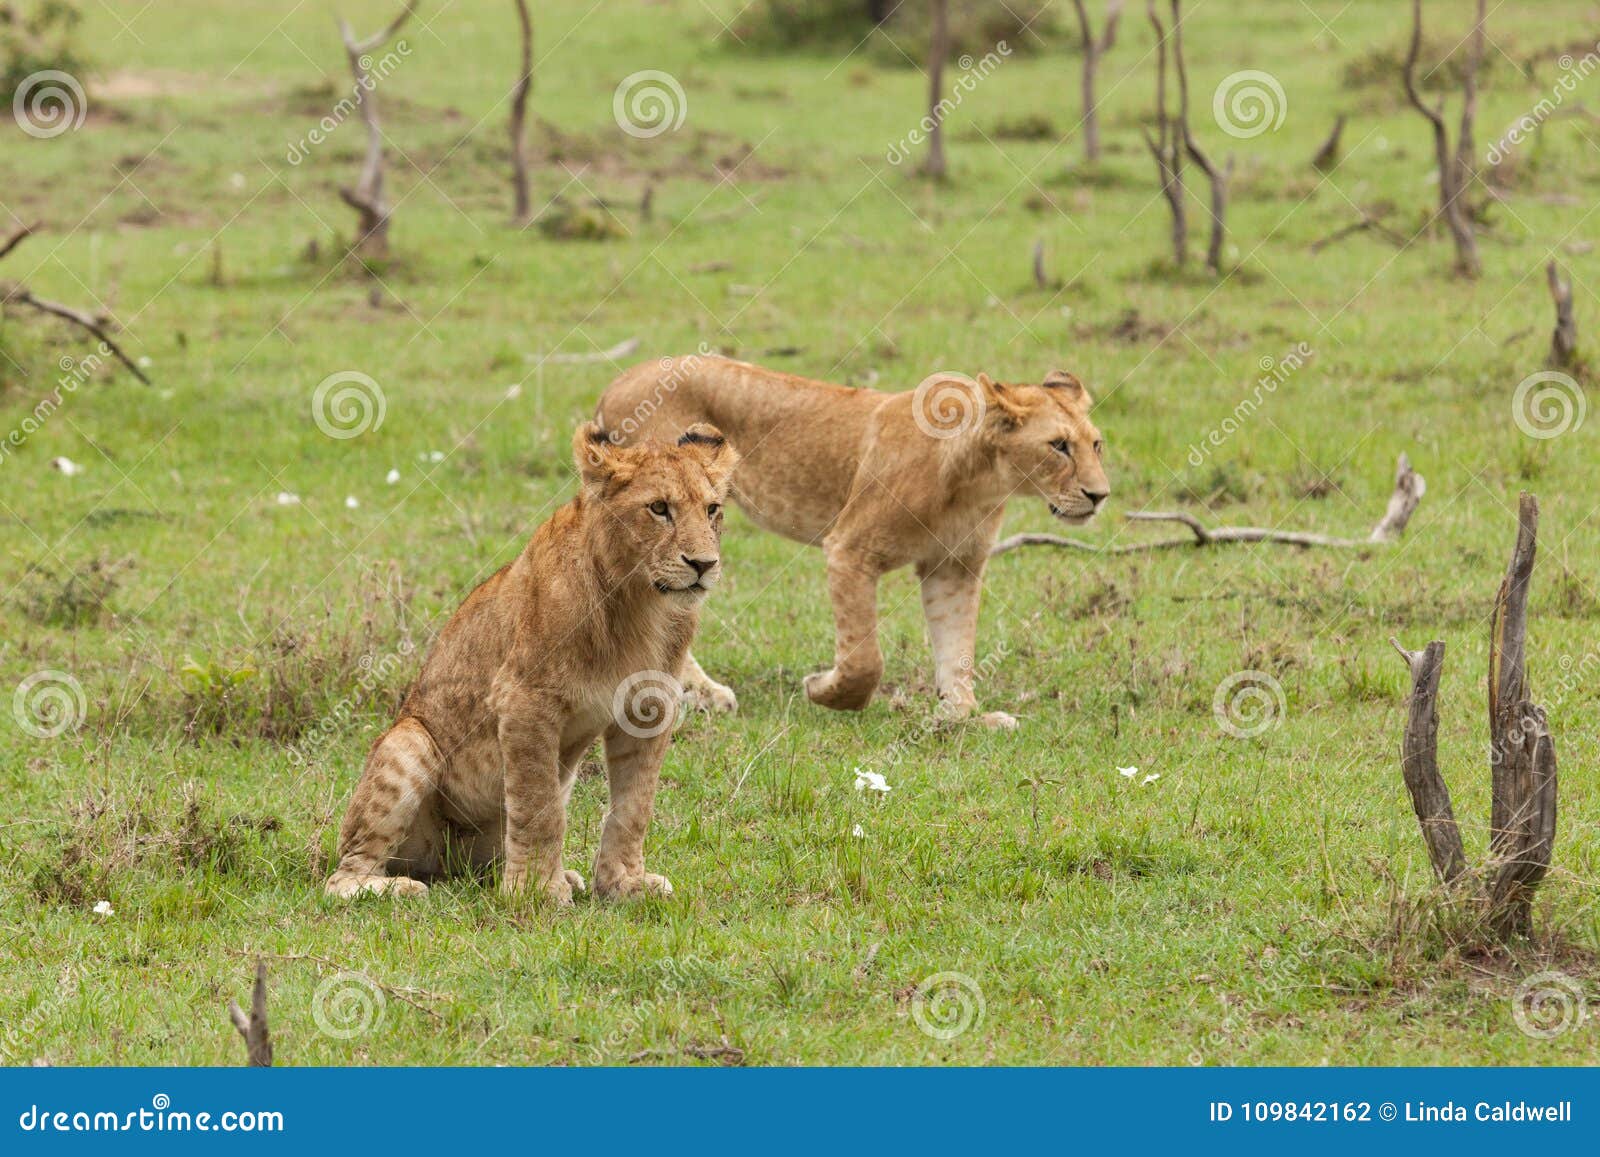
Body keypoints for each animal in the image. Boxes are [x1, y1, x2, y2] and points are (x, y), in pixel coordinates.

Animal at [324, 421, 738, 904]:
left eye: (712, 509)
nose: (704, 564)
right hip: (409, 741)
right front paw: (537, 893)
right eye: (658, 508)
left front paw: (625, 883)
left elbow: (634, 806)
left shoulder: (650, 708)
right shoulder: (525, 700)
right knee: (343, 874)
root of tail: (444, 865)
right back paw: (397, 888)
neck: (640, 605)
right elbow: (540, 807)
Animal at [597, 358, 1109, 728]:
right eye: (1058, 445)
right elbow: (865, 659)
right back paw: (702, 694)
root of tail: (617, 381)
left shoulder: (953, 566)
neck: (979, 479)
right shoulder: (850, 549)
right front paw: (822, 689)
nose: (1100, 495)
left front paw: (962, 715)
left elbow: (957, 647)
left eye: (1096, 444)